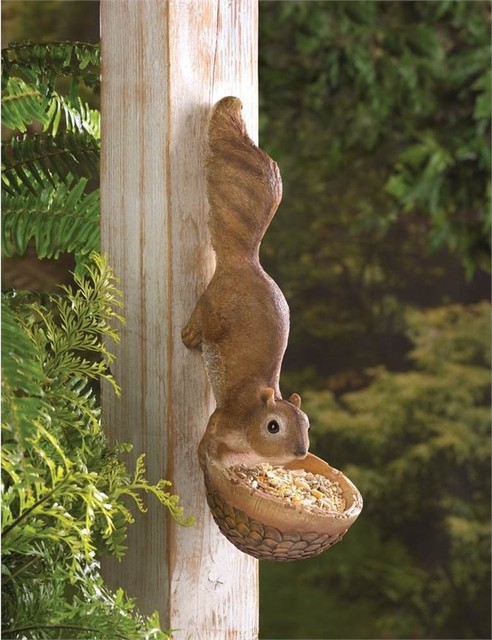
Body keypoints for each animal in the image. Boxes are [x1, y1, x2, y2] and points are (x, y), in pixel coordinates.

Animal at [182, 96, 310, 469]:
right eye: (273, 426)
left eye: (307, 424)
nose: (301, 451)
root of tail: (245, 263)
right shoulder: (225, 418)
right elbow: (208, 439)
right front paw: (205, 460)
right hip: (215, 307)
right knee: (202, 318)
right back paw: (190, 334)